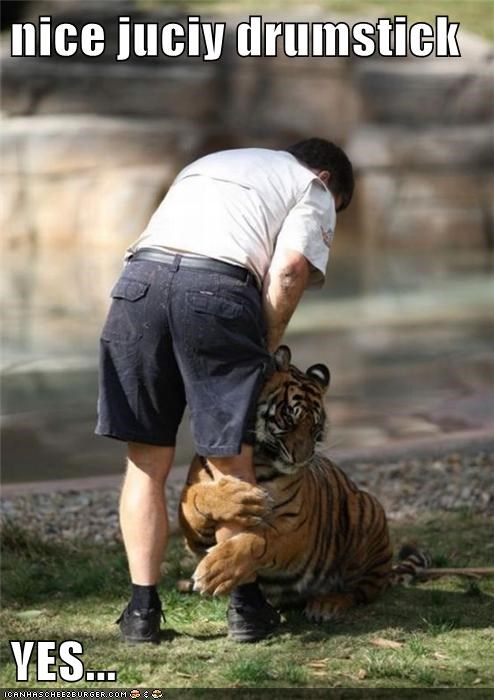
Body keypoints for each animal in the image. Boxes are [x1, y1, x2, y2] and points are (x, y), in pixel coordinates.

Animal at [179, 345, 428, 621]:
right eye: (288, 419)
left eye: (315, 427)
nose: (304, 458)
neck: (258, 460)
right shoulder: (196, 537)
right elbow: (192, 501)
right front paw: (239, 499)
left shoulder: (295, 527)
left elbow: (258, 540)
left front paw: (216, 571)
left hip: (367, 507)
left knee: (361, 591)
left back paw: (327, 604)